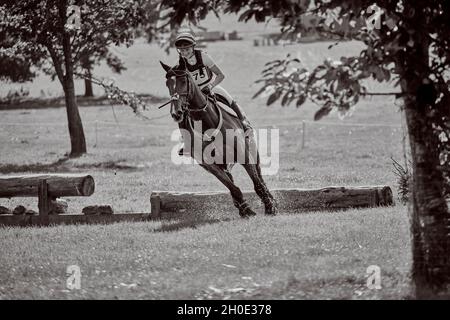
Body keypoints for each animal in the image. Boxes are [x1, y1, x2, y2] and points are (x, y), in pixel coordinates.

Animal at [158, 59, 278, 218]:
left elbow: (257, 183)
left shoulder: (243, 153)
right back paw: (242, 208)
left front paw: (270, 207)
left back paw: (270, 201)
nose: (176, 113)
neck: (206, 121)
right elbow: (233, 188)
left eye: (183, 81)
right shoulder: (211, 165)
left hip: (252, 150)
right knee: (233, 183)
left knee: (260, 177)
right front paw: (247, 210)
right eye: (167, 84)